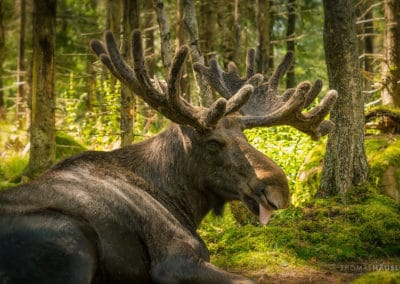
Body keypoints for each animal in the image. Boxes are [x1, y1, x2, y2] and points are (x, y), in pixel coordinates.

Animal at [0, 30, 338, 282]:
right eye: (213, 143)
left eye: (244, 136)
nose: (280, 190)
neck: (179, 197)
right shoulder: (175, 261)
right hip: (72, 239)